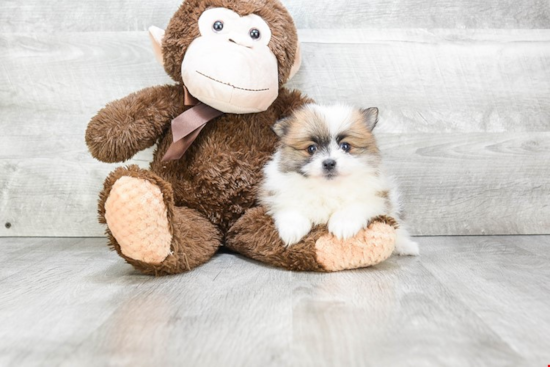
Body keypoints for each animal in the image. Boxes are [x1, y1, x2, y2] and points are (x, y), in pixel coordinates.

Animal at [260, 104, 420, 256]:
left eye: (345, 146)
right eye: (312, 148)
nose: (329, 163)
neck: (328, 187)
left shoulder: (375, 196)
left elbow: (354, 206)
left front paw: (343, 226)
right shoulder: (279, 194)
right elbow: (291, 207)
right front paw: (292, 230)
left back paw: (406, 246)